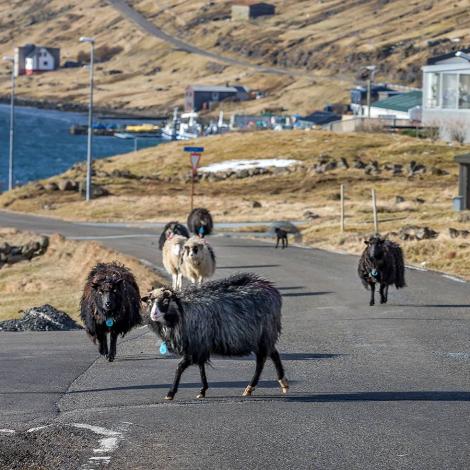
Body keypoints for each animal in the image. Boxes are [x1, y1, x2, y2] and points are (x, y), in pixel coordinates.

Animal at [143, 274, 288, 402]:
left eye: (165, 301)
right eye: (150, 302)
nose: (153, 314)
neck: (181, 311)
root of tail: (272, 290)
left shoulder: (195, 345)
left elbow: (180, 367)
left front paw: (170, 393)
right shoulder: (200, 346)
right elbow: (201, 366)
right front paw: (203, 390)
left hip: (264, 334)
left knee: (262, 360)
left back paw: (251, 387)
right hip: (264, 336)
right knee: (273, 353)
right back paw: (282, 383)